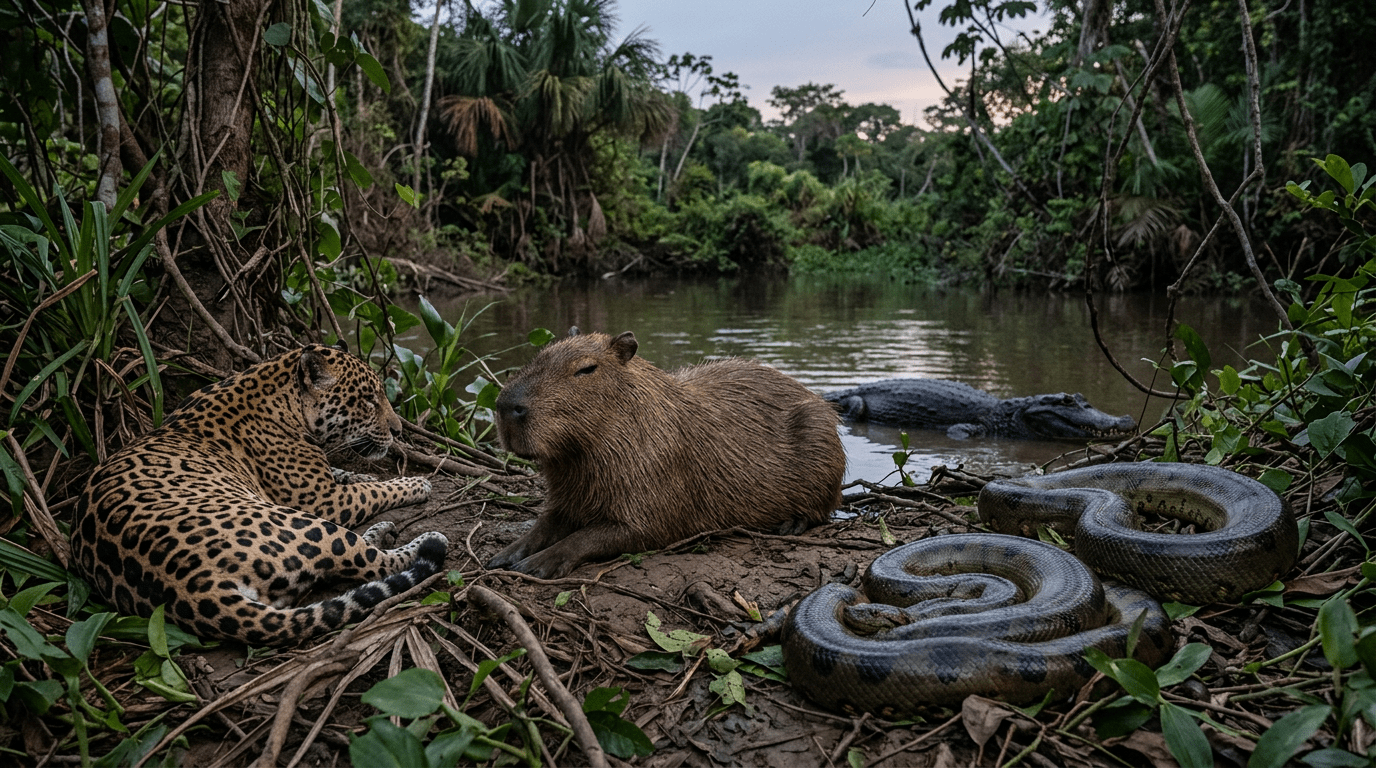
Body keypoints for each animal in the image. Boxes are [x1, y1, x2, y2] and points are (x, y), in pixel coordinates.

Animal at [69, 343, 448, 647]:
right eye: (369, 399)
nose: (398, 430)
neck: (280, 393)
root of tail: (193, 588)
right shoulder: (322, 499)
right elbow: (373, 490)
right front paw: (416, 484)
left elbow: (350, 477)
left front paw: (359, 473)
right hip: (305, 523)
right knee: (374, 562)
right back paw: (422, 538)